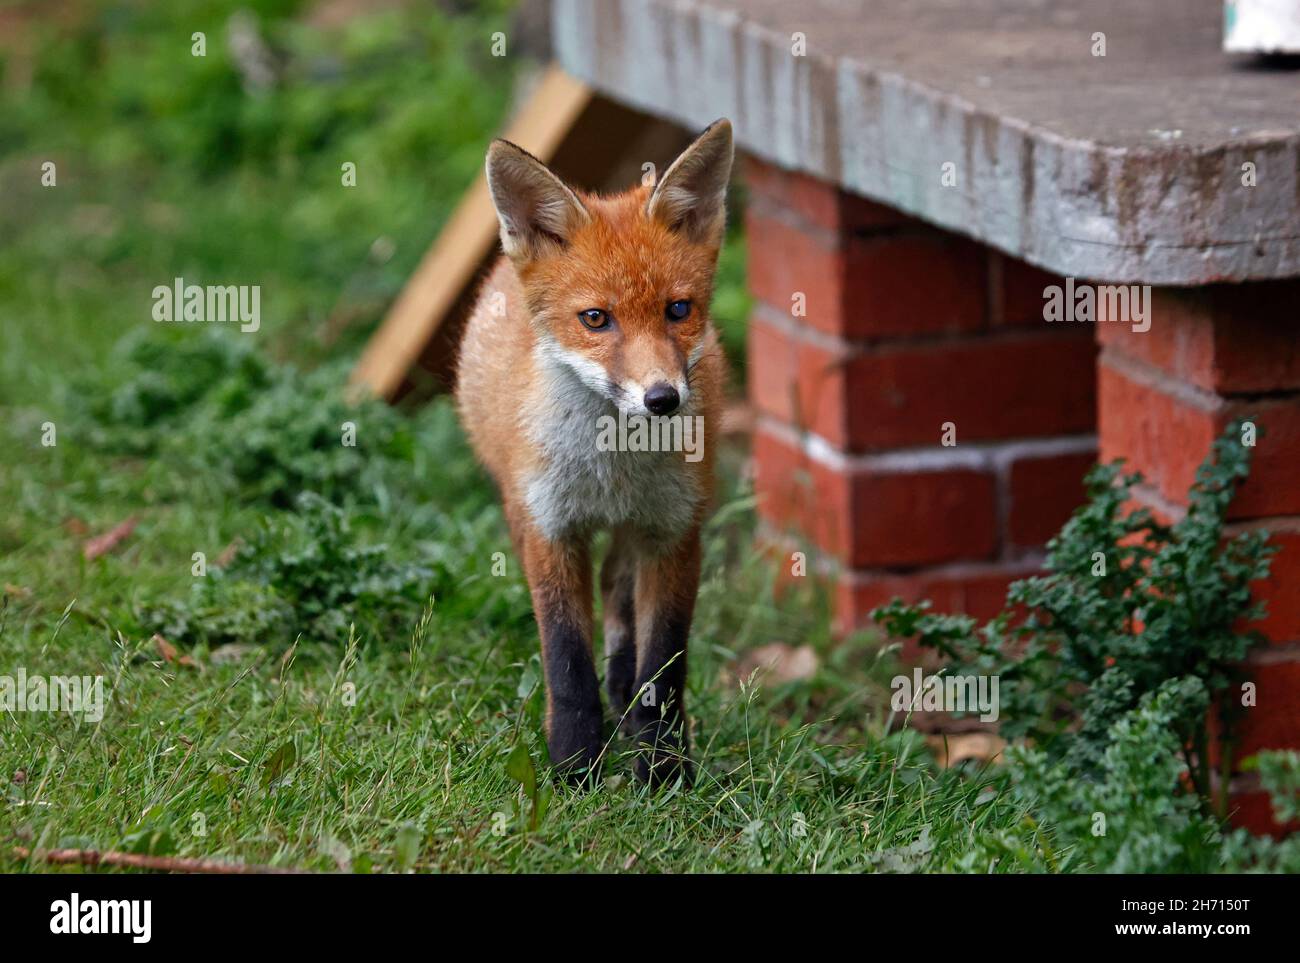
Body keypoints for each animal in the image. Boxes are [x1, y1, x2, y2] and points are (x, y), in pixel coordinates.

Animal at [460, 118, 738, 779]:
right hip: (522, 510)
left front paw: (661, 769)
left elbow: (664, 662)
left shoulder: (674, 532)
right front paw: (573, 765)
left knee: (616, 590)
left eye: (678, 310)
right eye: (595, 319)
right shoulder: (551, 530)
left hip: (635, 531)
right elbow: (566, 659)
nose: (662, 398)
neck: (614, 469)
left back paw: (625, 695)